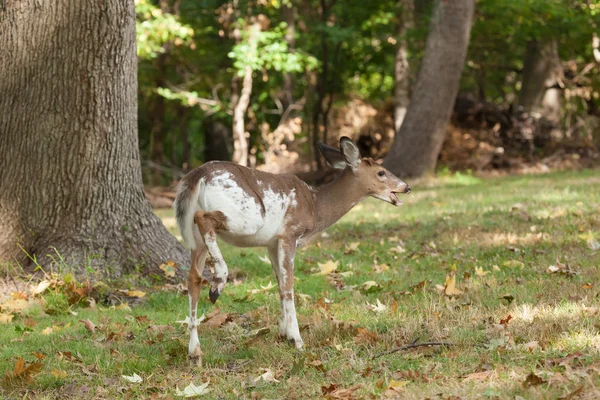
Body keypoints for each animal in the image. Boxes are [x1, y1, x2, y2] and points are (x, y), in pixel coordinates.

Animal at [171, 136, 410, 364]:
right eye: (381, 172)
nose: (406, 187)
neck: (316, 206)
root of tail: (198, 175)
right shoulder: (290, 233)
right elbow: (288, 286)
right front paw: (297, 340)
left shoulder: (271, 242)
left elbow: (278, 284)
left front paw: (283, 334)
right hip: (247, 216)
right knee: (203, 218)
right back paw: (219, 281)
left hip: (198, 236)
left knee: (193, 277)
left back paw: (195, 352)